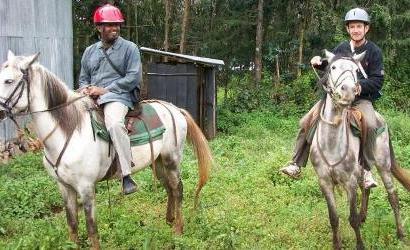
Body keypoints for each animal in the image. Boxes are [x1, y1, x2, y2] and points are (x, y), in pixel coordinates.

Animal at [0, 51, 213, 249]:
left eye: (9, 80)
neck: (68, 130)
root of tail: (174, 109)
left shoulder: (86, 187)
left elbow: (91, 228)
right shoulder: (64, 187)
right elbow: (72, 224)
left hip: (171, 160)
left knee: (178, 189)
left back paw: (178, 229)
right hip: (158, 162)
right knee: (169, 188)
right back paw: (169, 221)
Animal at [310, 49, 410, 249]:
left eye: (356, 70)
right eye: (332, 67)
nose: (348, 90)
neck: (332, 142)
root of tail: (381, 119)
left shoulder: (349, 182)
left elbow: (352, 219)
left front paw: (360, 244)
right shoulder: (324, 182)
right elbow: (334, 218)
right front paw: (337, 245)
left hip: (383, 165)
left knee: (393, 196)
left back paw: (401, 235)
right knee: (367, 188)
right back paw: (365, 216)